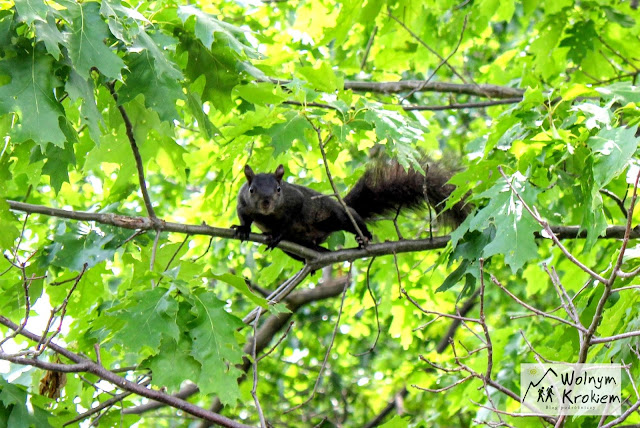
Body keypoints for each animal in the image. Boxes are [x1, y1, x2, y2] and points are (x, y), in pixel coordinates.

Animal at [232, 161, 468, 260]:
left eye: (279, 189)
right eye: (252, 190)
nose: (266, 203)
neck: (269, 215)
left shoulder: (295, 200)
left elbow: (289, 219)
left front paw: (278, 233)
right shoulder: (242, 203)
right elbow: (244, 217)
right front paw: (243, 229)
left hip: (336, 214)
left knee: (351, 219)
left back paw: (364, 238)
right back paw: (319, 253)